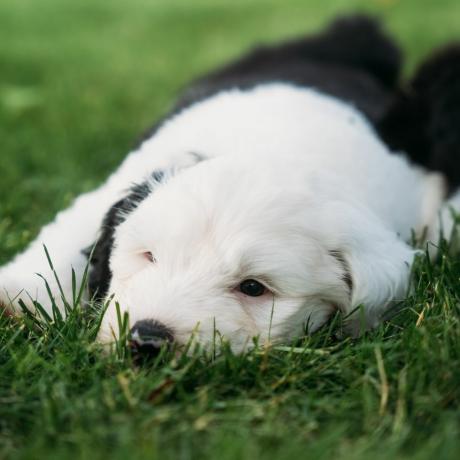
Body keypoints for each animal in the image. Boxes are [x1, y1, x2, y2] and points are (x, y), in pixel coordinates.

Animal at [0, 14, 460, 352]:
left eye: (253, 288)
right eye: (149, 256)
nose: (147, 339)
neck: (277, 150)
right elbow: (66, 237)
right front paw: (17, 299)